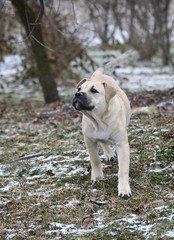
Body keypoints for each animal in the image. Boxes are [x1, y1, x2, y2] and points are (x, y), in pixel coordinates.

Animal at [72, 49, 133, 200]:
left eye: (94, 90)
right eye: (79, 88)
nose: (77, 94)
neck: (99, 119)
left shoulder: (122, 144)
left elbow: (123, 169)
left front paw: (124, 189)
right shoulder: (88, 140)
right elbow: (94, 159)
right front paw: (98, 176)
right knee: (102, 142)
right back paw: (108, 153)